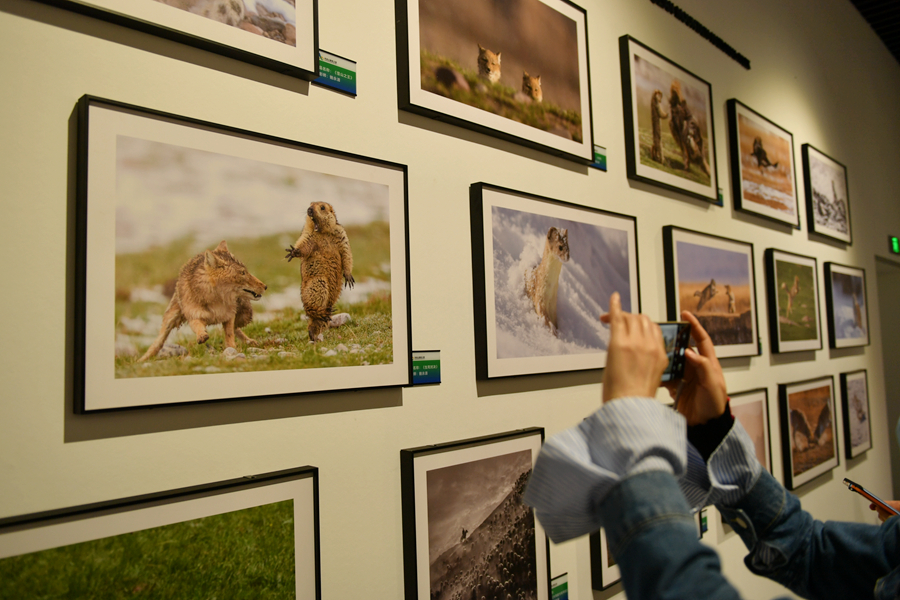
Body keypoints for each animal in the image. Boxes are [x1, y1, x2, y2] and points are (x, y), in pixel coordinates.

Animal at [138, 240, 267, 361]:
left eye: (245, 271)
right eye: (242, 273)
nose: (265, 286)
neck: (216, 301)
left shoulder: (229, 316)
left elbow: (229, 335)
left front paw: (232, 349)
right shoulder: (194, 316)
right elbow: (198, 327)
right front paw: (202, 336)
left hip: (245, 317)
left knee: (237, 328)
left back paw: (250, 341)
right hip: (170, 319)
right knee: (158, 342)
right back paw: (142, 359)